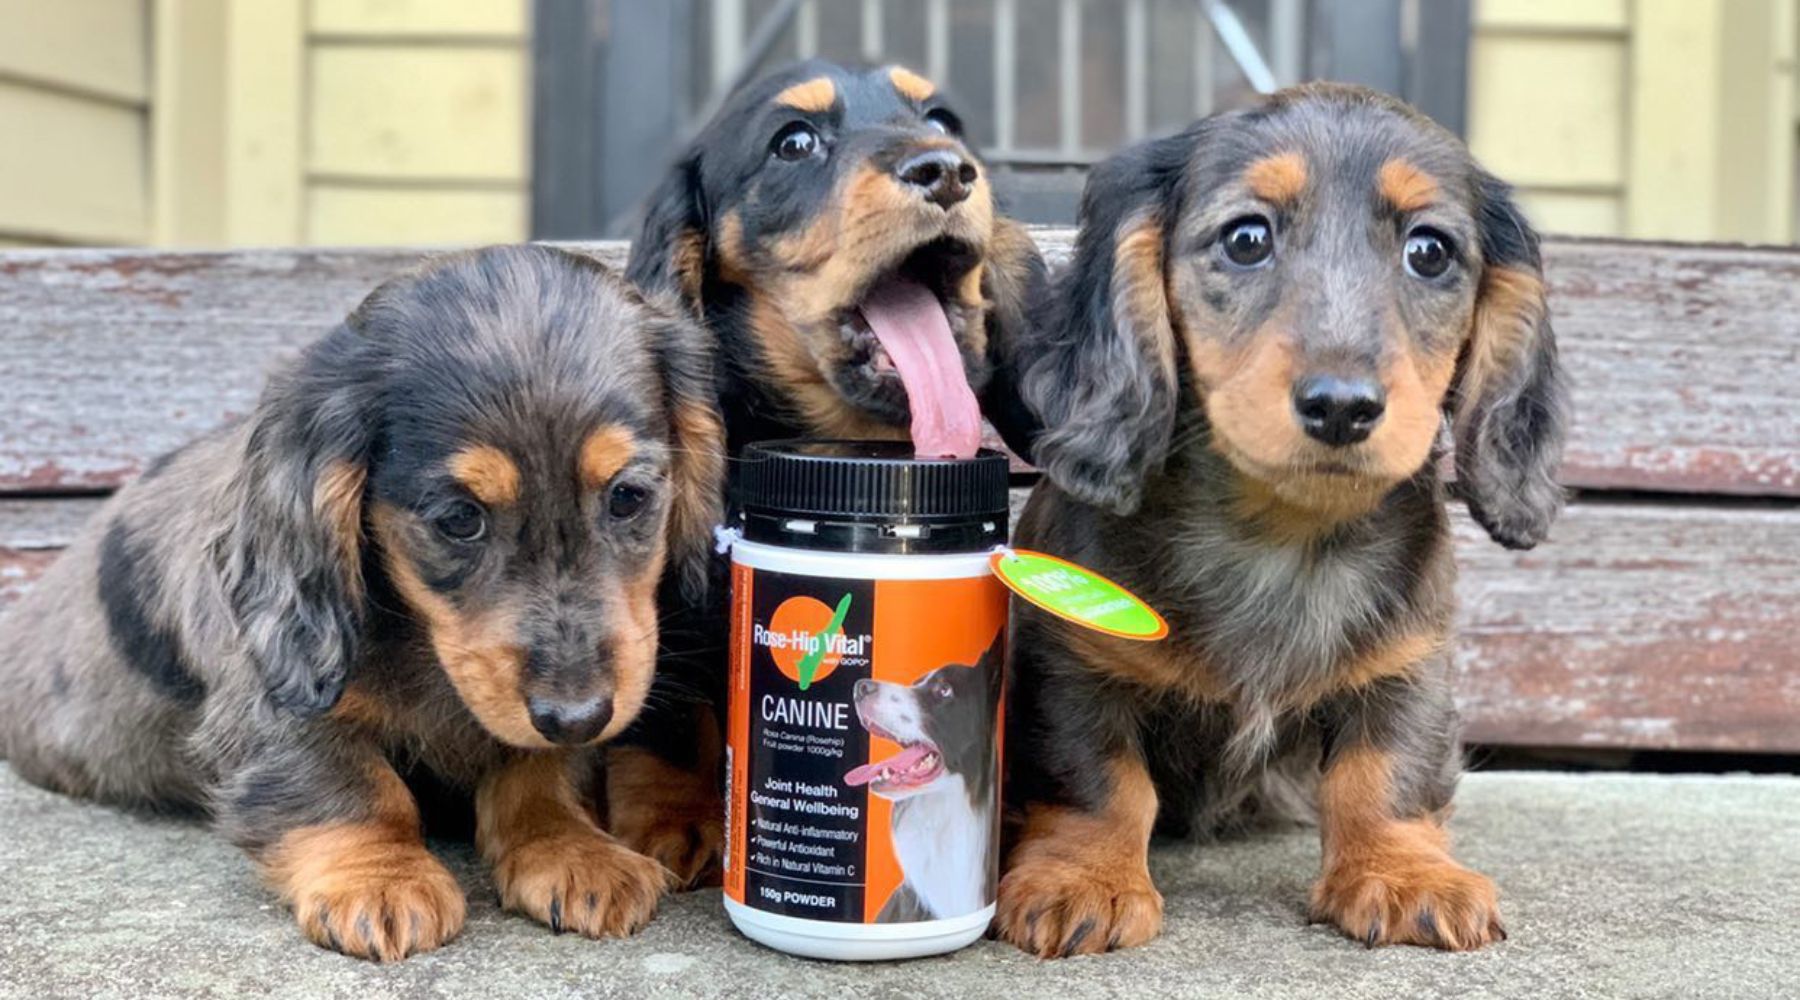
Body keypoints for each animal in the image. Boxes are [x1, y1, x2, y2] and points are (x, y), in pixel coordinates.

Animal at [3, 244, 730, 964]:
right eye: (459, 518)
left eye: (628, 496)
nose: (578, 715)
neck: (424, 643)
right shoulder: (270, 701)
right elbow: (350, 785)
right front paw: (381, 877)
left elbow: (539, 772)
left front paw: (572, 850)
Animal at [993, 87, 1569, 964]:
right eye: (1247, 238)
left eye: (1430, 252)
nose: (1342, 406)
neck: (1278, 534)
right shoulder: (1070, 659)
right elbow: (1098, 777)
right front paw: (1081, 876)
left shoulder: (1411, 663)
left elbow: (1385, 772)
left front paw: (1403, 872)